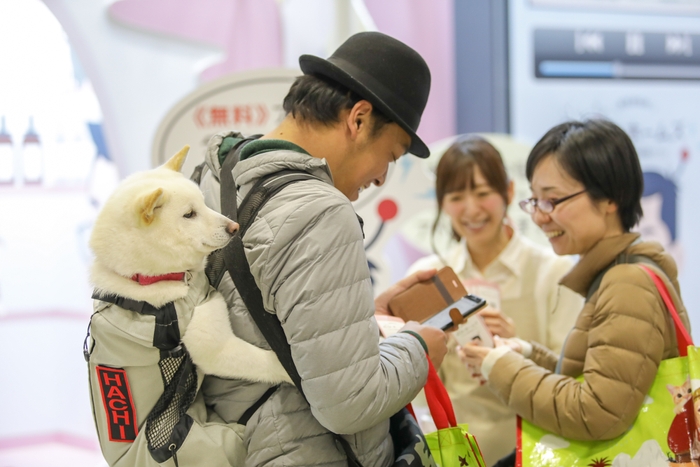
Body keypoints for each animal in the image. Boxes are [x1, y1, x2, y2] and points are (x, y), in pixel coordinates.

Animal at [89, 145, 292, 384]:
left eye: (204, 204)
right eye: (189, 214)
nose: (234, 227)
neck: (149, 277)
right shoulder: (213, 347)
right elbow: (272, 363)